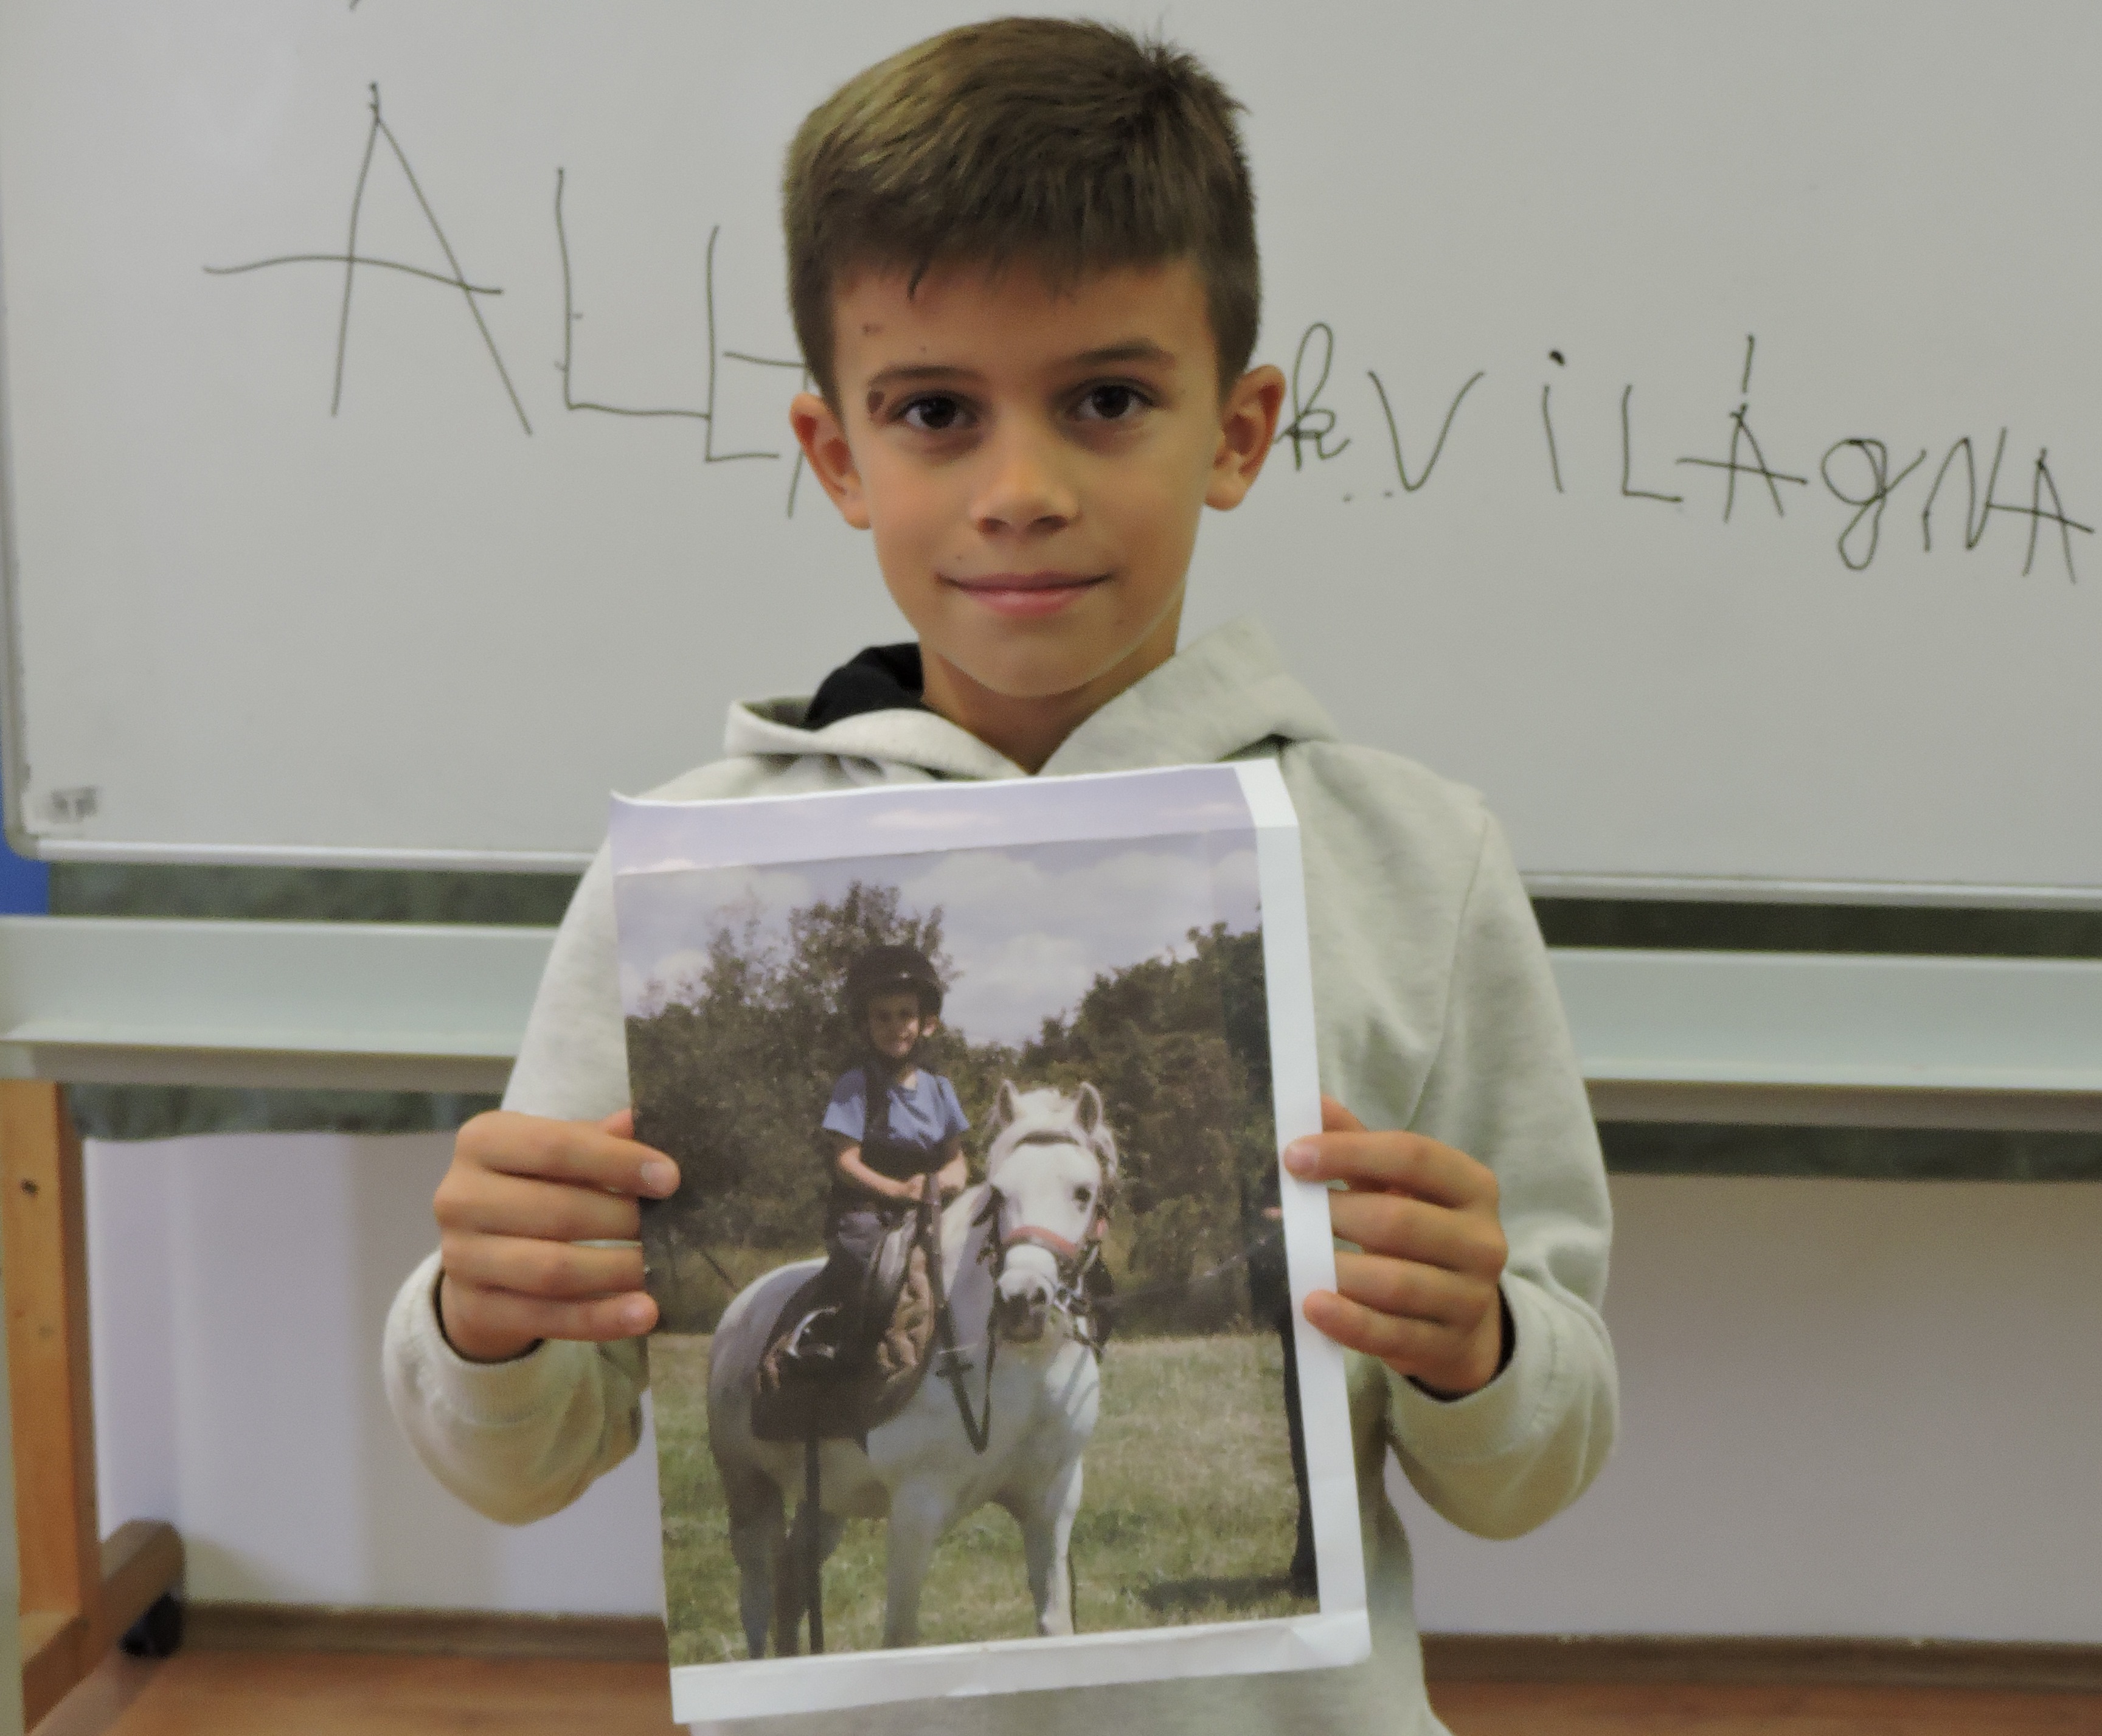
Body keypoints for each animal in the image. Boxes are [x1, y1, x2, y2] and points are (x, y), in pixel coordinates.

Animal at [705, 1080, 1119, 1655]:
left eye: (1083, 1192)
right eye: (998, 1194)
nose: (1022, 1302)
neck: (1017, 1373)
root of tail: (738, 1310)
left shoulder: (1052, 1503)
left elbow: (1055, 1623)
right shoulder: (915, 1511)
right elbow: (901, 1637)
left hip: (824, 1500)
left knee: (792, 1578)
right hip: (746, 1485)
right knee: (758, 1597)